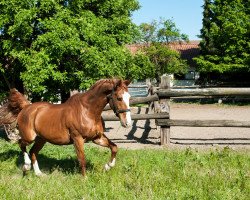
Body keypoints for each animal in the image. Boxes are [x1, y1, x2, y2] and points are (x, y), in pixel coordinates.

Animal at [0, 79, 132, 176]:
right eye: (119, 98)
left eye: (129, 97)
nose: (128, 123)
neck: (87, 111)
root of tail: (26, 107)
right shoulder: (77, 138)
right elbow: (82, 159)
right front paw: (84, 180)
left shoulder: (97, 138)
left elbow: (114, 147)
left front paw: (107, 166)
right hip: (29, 137)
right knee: (21, 144)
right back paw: (26, 166)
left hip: (41, 139)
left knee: (32, 151)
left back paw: (38, 174)